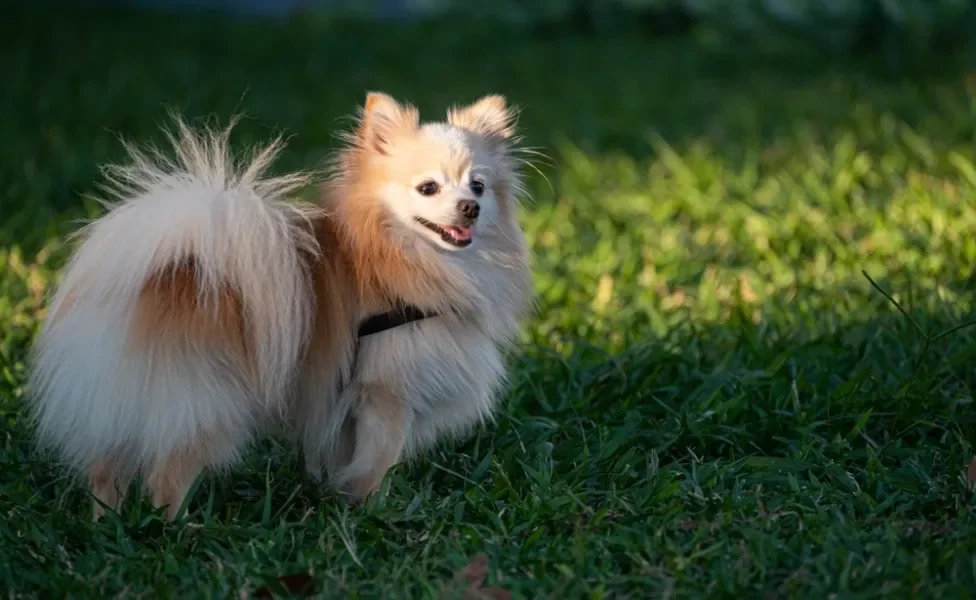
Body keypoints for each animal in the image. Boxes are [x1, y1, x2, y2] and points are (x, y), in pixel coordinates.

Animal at [28, 91, 532, 516]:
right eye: (428, 188)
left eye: (478, 187)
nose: (469, 208)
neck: (405, 255)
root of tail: (172, 265)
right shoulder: (386, 394)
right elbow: (378, 464)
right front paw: (370, 512)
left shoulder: (341, 403)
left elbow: (342, 459)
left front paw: (339, 501)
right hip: (207, 404)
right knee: (165, 479)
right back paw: (172, 531)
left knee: (106, 470)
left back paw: (107, 523)